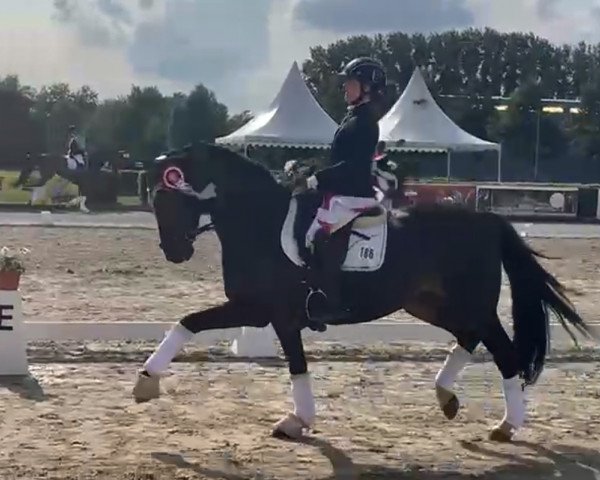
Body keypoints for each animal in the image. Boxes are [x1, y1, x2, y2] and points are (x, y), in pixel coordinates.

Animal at [131, 142, 596, 442]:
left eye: (168, 198)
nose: (174, 252)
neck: (259, 221)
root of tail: (487, 221)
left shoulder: (273, 313)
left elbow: (295, 365)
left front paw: (296, 420)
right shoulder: (255, 310)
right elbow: (188, 323)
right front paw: (146, 382)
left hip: (472, 304)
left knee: (503, 352)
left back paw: (506, 425)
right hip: (431, 304)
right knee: (470, 338)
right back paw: (446, 396)